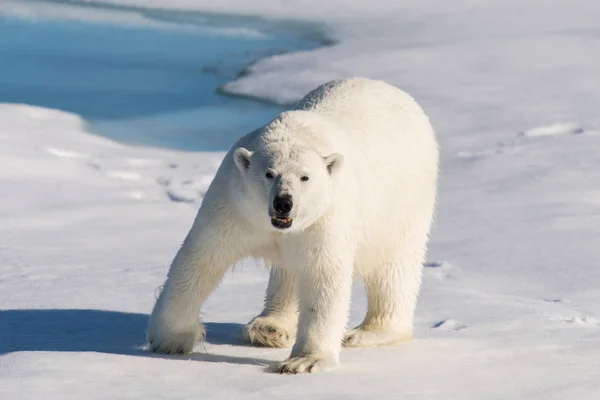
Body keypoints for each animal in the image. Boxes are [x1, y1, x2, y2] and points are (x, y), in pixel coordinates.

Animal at [148, 78, 438, 376]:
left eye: (305, 177)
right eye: (269, 173)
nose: (283, 203)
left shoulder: (326, 216)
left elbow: (323, 276)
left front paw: (304, 361)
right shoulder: (233, 204)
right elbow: (201, 258)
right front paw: (170, 339)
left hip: (404, 202)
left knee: (394, 266)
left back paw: (366, 332)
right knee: (286, 275)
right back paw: (269, 328)